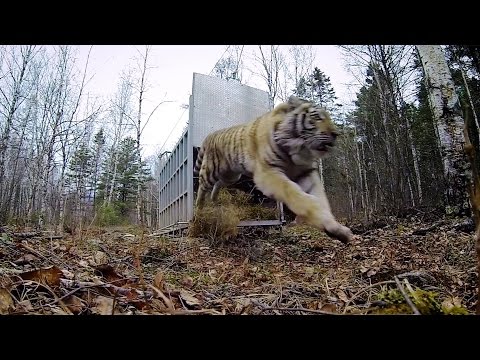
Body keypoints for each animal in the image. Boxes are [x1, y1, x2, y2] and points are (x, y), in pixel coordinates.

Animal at [193, 95, 354, 245]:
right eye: (316, 117)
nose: (336, 134)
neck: (298, 149)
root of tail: (209, 135)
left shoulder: (306, 173)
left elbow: (321, 199)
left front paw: (336, 229)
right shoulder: (268, 173)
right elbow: (297, 194)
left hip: (231, 175)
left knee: (219, 183)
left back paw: (214, 199)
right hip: (211, 170)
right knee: (202, 186)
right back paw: (198, 211)